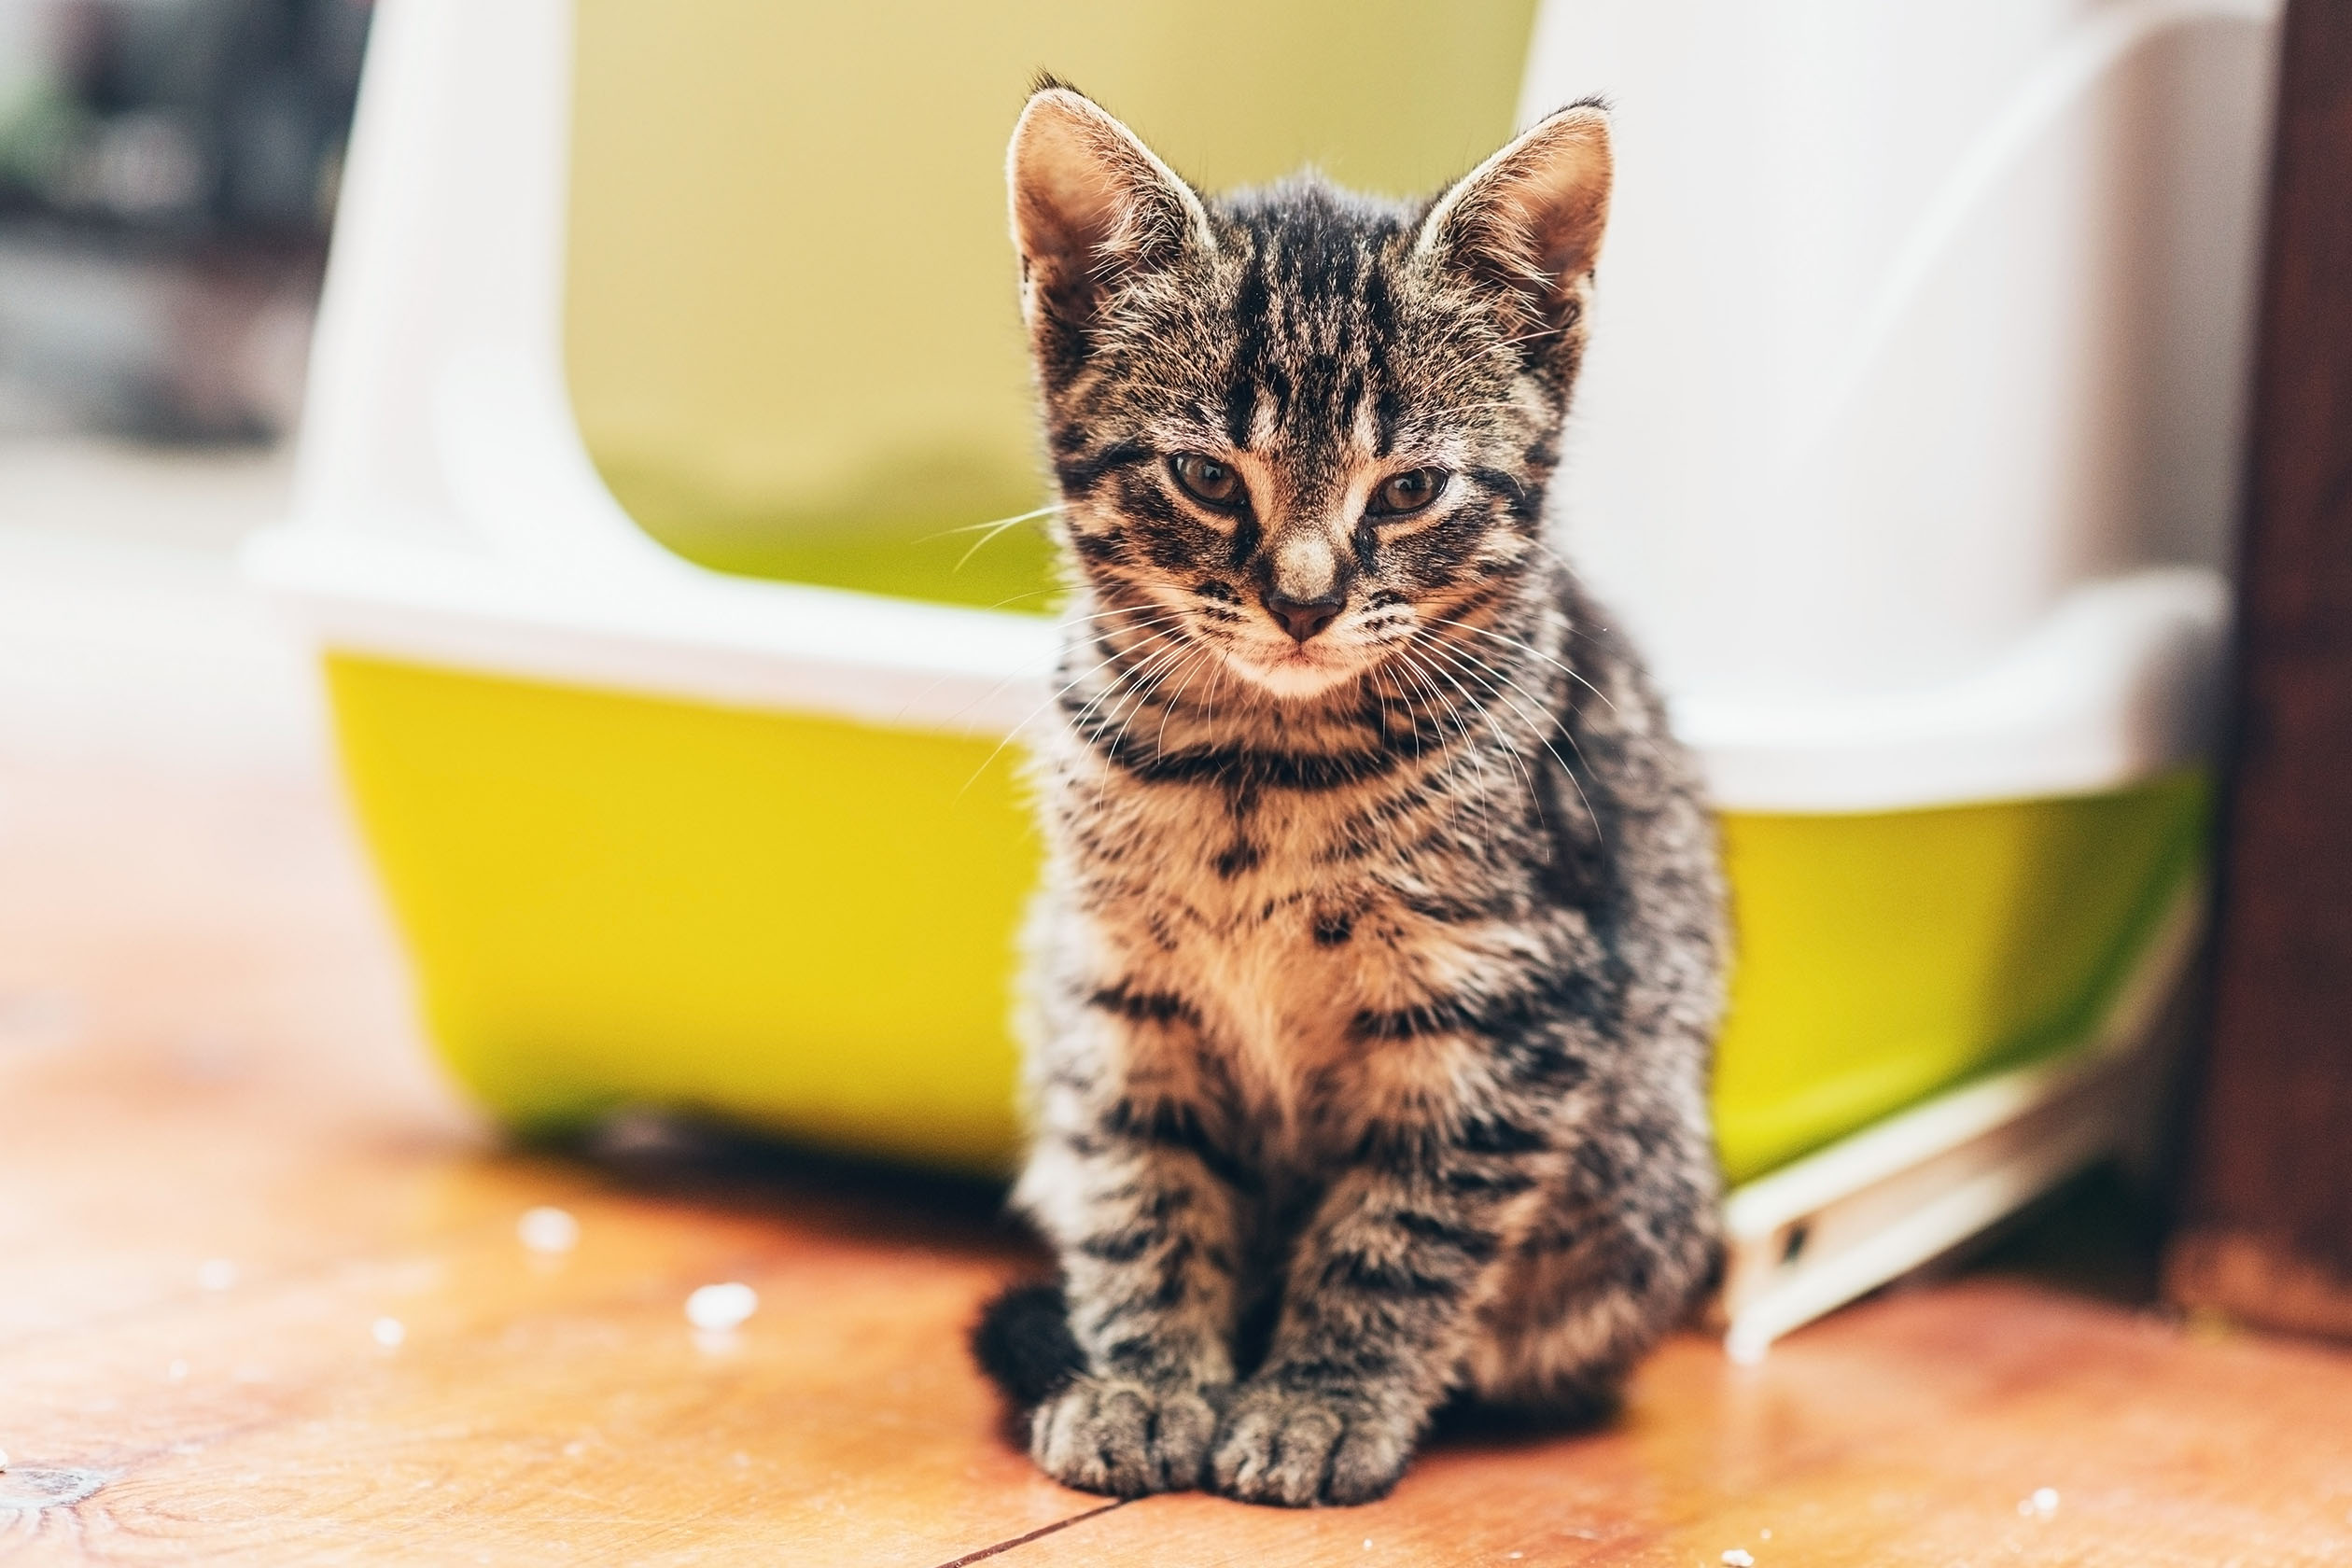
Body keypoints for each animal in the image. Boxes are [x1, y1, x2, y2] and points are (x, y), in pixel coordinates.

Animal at [973, 82, 1730, 1504]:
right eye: (1209, 478)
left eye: (1413, 489)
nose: (1306, 600)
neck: (1257, 767)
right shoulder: (1117, 988)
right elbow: (1144, 1192)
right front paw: (1145, 1382)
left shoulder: (1504, 1006)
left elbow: (1400, 1230)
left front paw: (1321, 1403)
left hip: (1640, 1191)